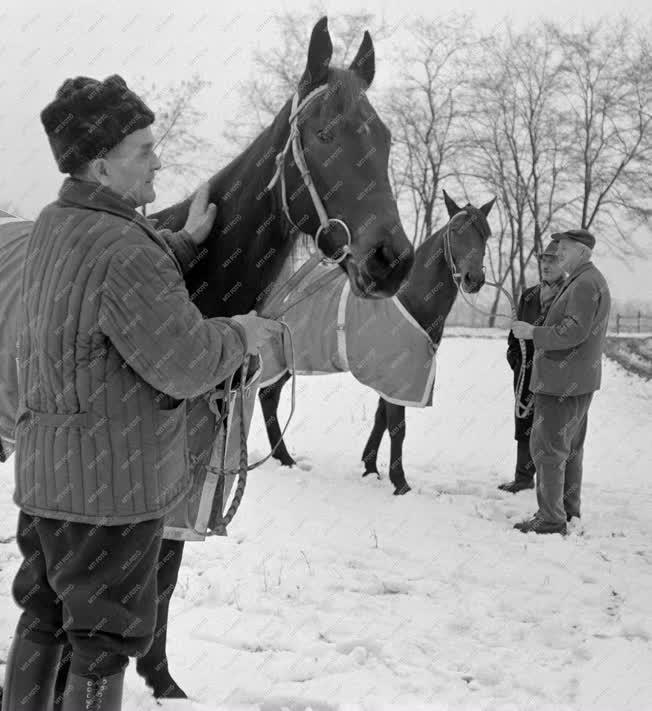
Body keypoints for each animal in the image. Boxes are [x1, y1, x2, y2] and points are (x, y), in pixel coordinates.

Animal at [53, 13, 416, 704]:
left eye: (383, 139)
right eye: (323, 133)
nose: (391, 260)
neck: (192, 290)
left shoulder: (189, 471)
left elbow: (165, 574)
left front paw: (162, 680)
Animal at [258, 192, 494, 498]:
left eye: (485, 234)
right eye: (455, 231)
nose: (473, 279)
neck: (409, 298)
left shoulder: (393, 376)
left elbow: (381, 419)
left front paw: (370, 468)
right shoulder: (398, 373)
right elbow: (397, 428)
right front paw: (401, 483)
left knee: (268, 397)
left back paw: (282, 457)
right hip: (278, 359)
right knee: (267, 397)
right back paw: (284, 458)